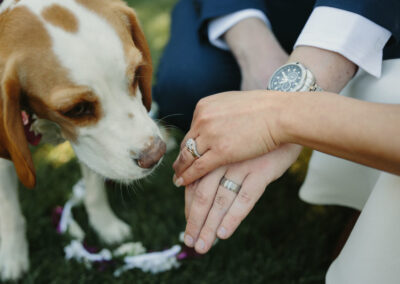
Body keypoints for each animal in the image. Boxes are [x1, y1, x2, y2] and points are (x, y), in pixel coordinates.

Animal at [0, 0, 166, 280]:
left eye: (136, 75)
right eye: (76, 109)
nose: (156, 155)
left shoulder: (94, 151)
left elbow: (95, 191)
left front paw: (106, 226)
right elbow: (10, 213)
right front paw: (12, 257)